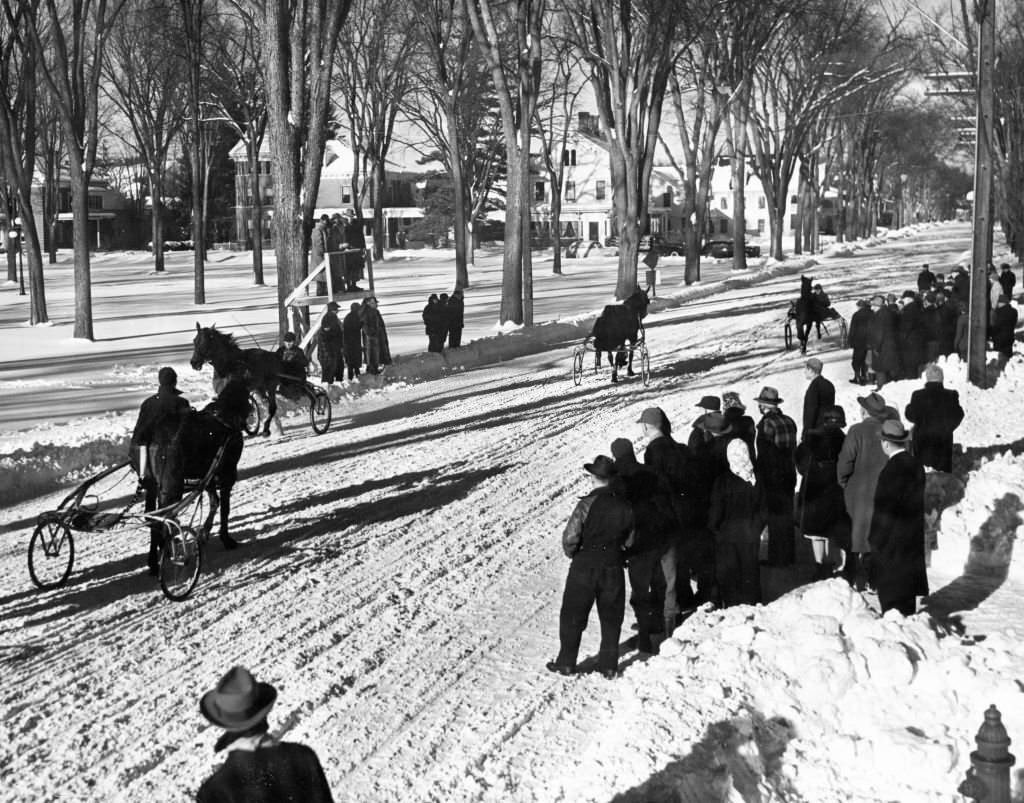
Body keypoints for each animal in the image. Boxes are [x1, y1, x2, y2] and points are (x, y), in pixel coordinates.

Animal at [144, 378, 249, 569]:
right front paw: (226, 539)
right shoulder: (227, 474)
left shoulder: (208, 477)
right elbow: (224, 508)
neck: (225, 416)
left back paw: (155, 560)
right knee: (164, 518)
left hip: (154, 485)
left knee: (154, 518)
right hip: (172, 487)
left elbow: (214, 502)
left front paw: (204, 533)